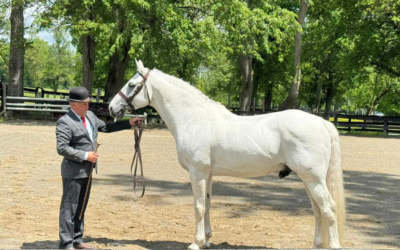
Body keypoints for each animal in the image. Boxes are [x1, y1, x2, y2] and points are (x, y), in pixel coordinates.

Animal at [109, 59, 346, 249]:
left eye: (131, 85)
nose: (111, 108)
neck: (194, 118)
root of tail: (321, 122)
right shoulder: (208, 174)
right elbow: (207, 204)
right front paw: (207, 240)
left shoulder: (197, 173)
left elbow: (198, 207)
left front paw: (196, 242)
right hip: (309, 180)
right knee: (317, 210)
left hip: (313, 179)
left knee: (329, 209)